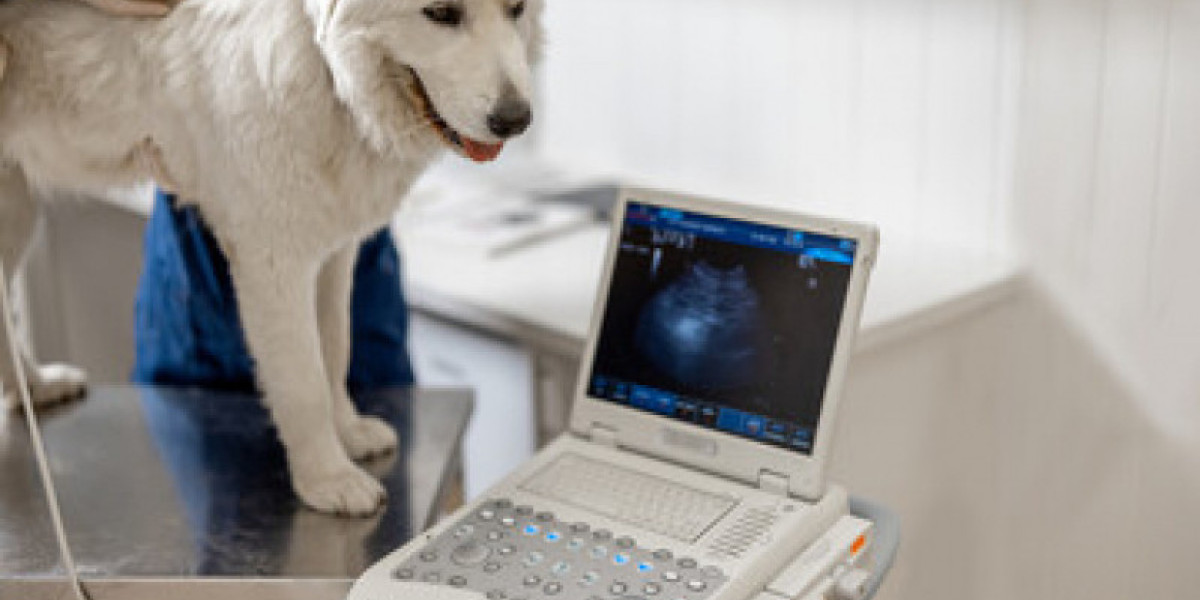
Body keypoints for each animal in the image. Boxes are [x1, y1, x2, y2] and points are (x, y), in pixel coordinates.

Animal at [0, 0, 544, 516]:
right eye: (441, 13)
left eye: (516, 9)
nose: (517, 121)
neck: (326, 72)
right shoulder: (274, 260)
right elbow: (304, 381)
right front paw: (327, 479)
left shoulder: (332, 255)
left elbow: (334, 349)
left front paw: (348, 432)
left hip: (15, 214)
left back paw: (36, 387)